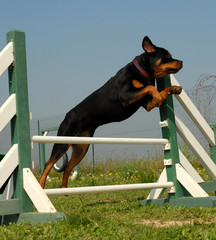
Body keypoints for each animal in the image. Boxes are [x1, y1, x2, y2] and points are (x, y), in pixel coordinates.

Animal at [38, 36, 182, 188]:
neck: (142, 71)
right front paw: (160, 96)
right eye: (167, 56)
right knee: (49, 163)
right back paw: (41, 186)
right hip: (63, 142)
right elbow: (150, 87)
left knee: (68, 168)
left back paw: (65, 189)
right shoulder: (126, 96)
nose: (181, 62)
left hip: (81, 147)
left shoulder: (147, 104)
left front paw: (173, 89)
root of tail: (67, 116)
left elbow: (157, 90)